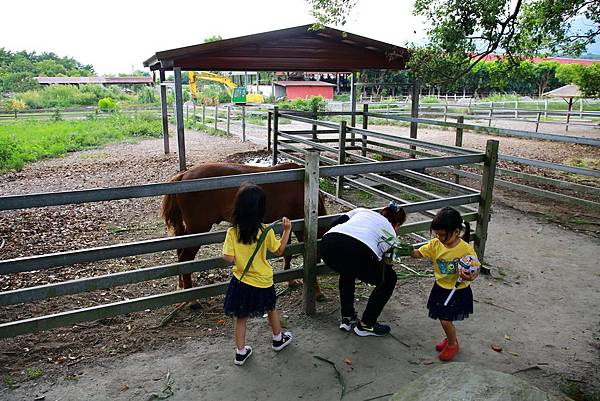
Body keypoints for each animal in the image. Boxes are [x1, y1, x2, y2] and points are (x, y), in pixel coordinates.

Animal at [162, 161, 326, 296]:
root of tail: (183, 175)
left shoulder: (291, 224)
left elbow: (288, 253)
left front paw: (291, 281)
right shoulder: (301, 227)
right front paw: (316, 291)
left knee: (181, 256)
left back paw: (182, 285)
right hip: (198, 230)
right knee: (185, 258)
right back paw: (192, 300)